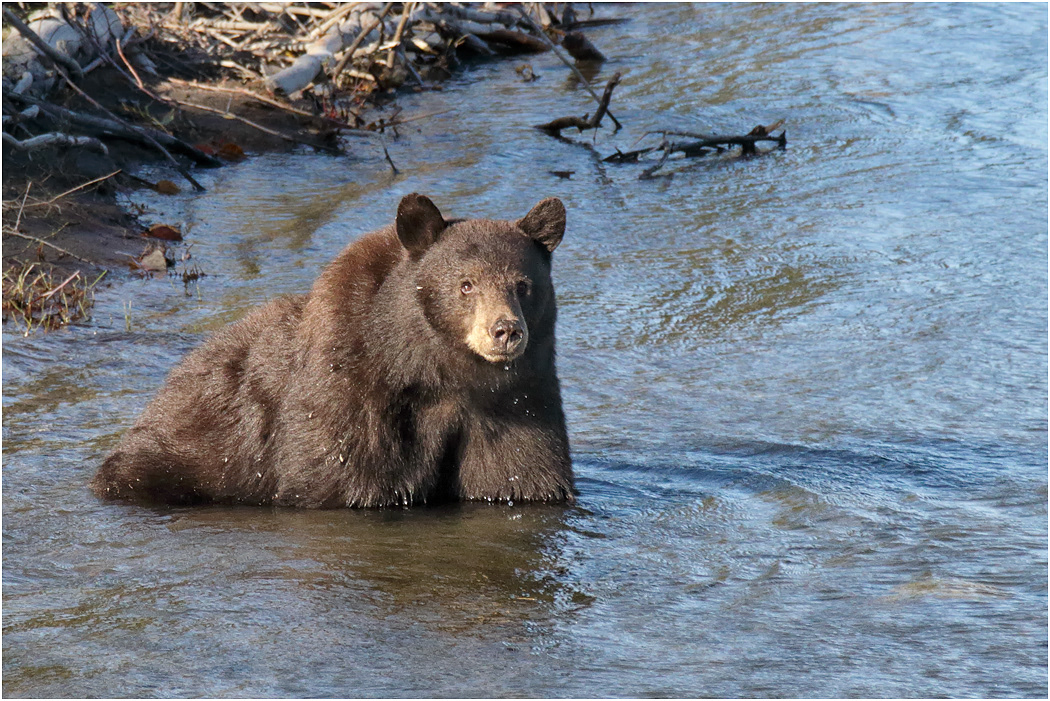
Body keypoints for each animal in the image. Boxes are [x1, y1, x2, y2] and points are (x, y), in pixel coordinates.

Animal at [91, 194, 575, 508]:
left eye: (523, 284)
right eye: (466, 284)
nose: (505, 331)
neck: (430, 369)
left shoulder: (516, 402)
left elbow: (520, 477)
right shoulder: (347, 392)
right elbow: (339, 477)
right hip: (181, 454)